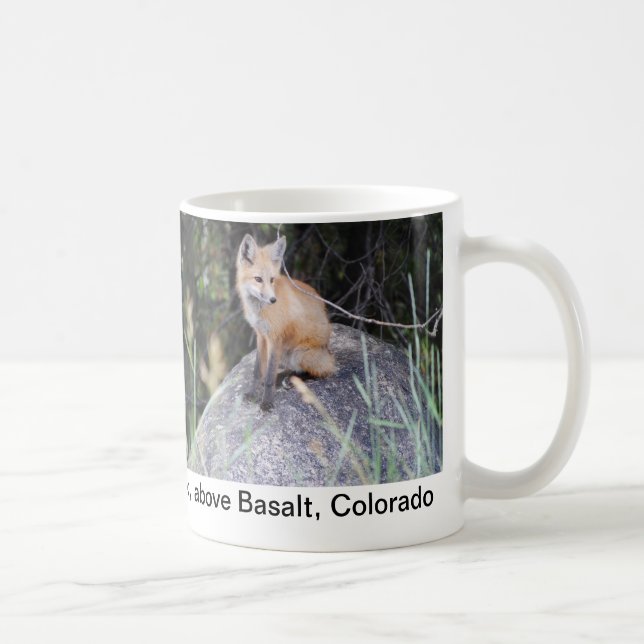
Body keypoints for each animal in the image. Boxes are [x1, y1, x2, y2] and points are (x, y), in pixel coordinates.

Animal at [236, 233, 336, 411]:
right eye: (258, 279)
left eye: (272, 279)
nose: (273, 300)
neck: (259, 310)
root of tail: (327, 349)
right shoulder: (261, 335)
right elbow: (257, 371)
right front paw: (252, 393)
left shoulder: (275, 337)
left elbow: (269, 376)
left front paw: (267, 402)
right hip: (285, 354)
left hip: (300, 354)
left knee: (323, 371)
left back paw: (292, 379)